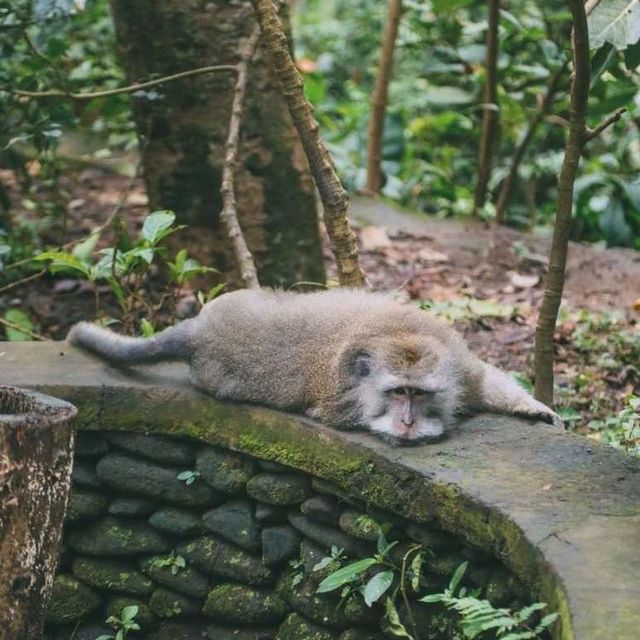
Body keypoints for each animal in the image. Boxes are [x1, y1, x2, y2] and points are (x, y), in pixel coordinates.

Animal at [69, 290, 560, 444]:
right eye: (397, 393)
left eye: (419, 393)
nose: (407, 421)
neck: (399, 334)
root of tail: (200, 329)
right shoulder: (340, 400)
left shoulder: (459, 365)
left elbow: (484, 378)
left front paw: (533, 407)